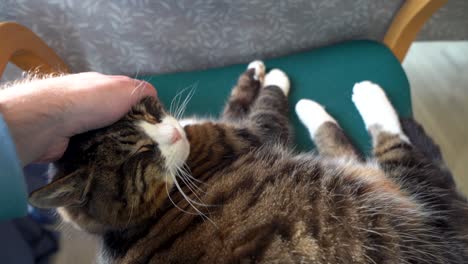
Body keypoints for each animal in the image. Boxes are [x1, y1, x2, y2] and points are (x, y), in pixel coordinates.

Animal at [29, 60, 468, 262]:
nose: (175, 133)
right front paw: (275, 78)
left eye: (149, 112)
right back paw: (361, 94)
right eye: (139, 154)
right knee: (394, 150)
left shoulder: (229, 124)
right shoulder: (253, 133)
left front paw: (254, 72)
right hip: (404, 196)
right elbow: (269, 104)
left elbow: (238, 102)